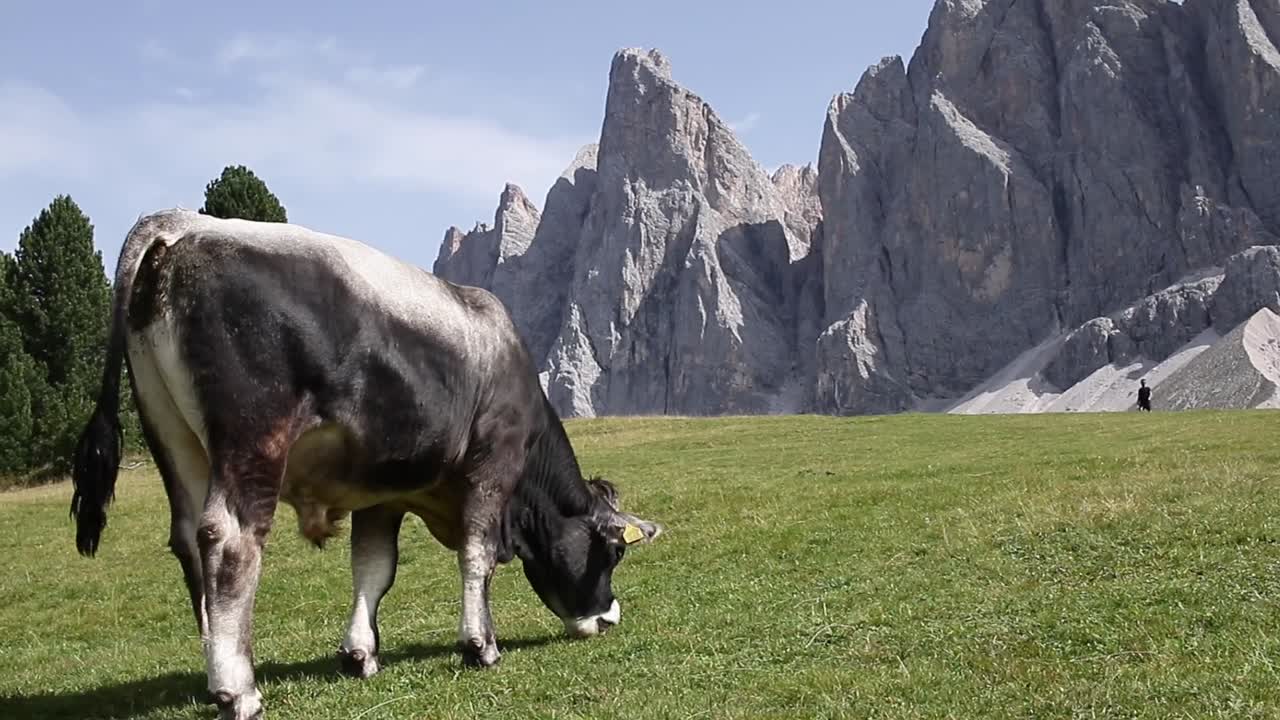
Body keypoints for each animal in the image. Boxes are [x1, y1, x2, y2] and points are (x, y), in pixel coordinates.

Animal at [69, 209, 663, 720]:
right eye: (613, 551)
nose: (609, 616)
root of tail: (183, 224)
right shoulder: (493, 464)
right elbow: (477, 556)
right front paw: (480, 645)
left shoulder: (382, 492)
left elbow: (374, 569)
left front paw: (360, 654)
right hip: (252, 441)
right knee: (230, 540)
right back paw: (239, 690)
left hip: (177, 443)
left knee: (190, 541)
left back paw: (213, 670)